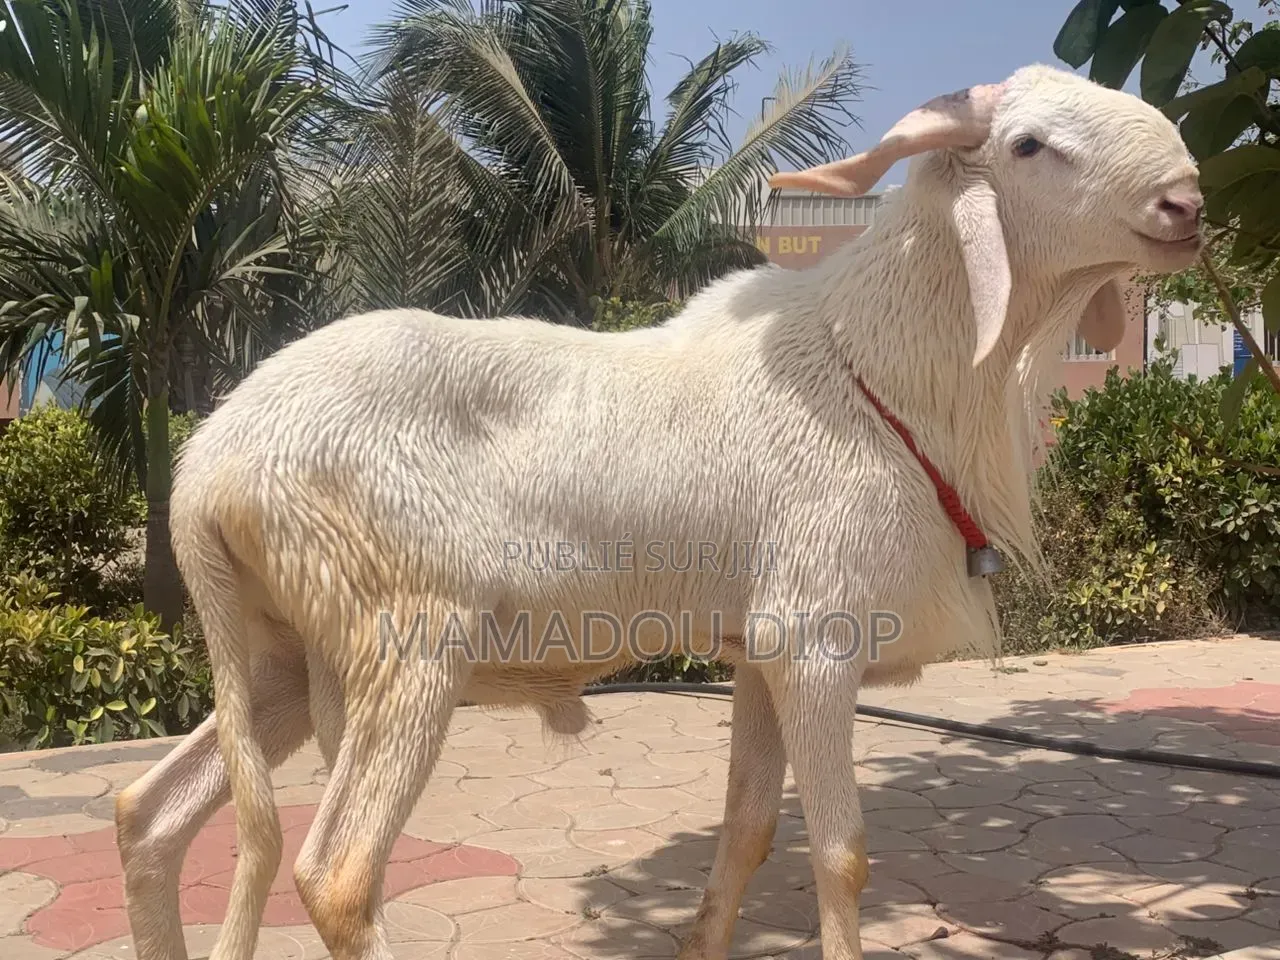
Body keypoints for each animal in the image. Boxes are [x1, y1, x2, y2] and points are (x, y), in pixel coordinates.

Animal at [114, 62, 1202, 960]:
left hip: (280, 656)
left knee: (146, 813)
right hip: (402, 642)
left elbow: (748, 832)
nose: (1186, 204)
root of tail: (207, 465)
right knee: (334, 876)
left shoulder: (759, 650)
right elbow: (842, 853)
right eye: (1028, 145)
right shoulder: (817, 641)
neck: (876, 373)